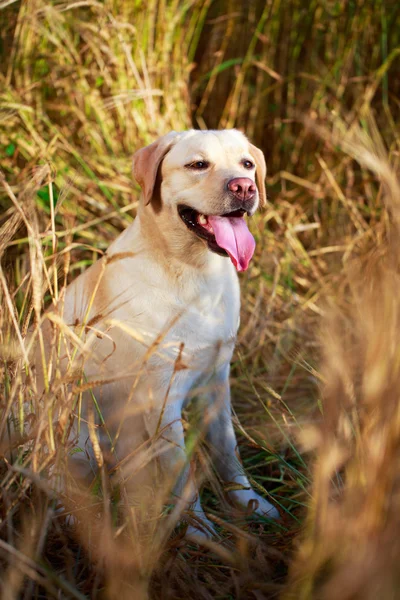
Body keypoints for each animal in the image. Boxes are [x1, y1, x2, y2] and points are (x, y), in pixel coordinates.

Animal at [35, 127, 278, 540]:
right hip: (73, 433)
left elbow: (227, 450)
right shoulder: (162, 398)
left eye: (247, 164)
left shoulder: (217, 380)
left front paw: (249, 502)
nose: (245, 187)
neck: (195, 273)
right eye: (198, 164)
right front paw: (199, 531)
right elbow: (181, 472)